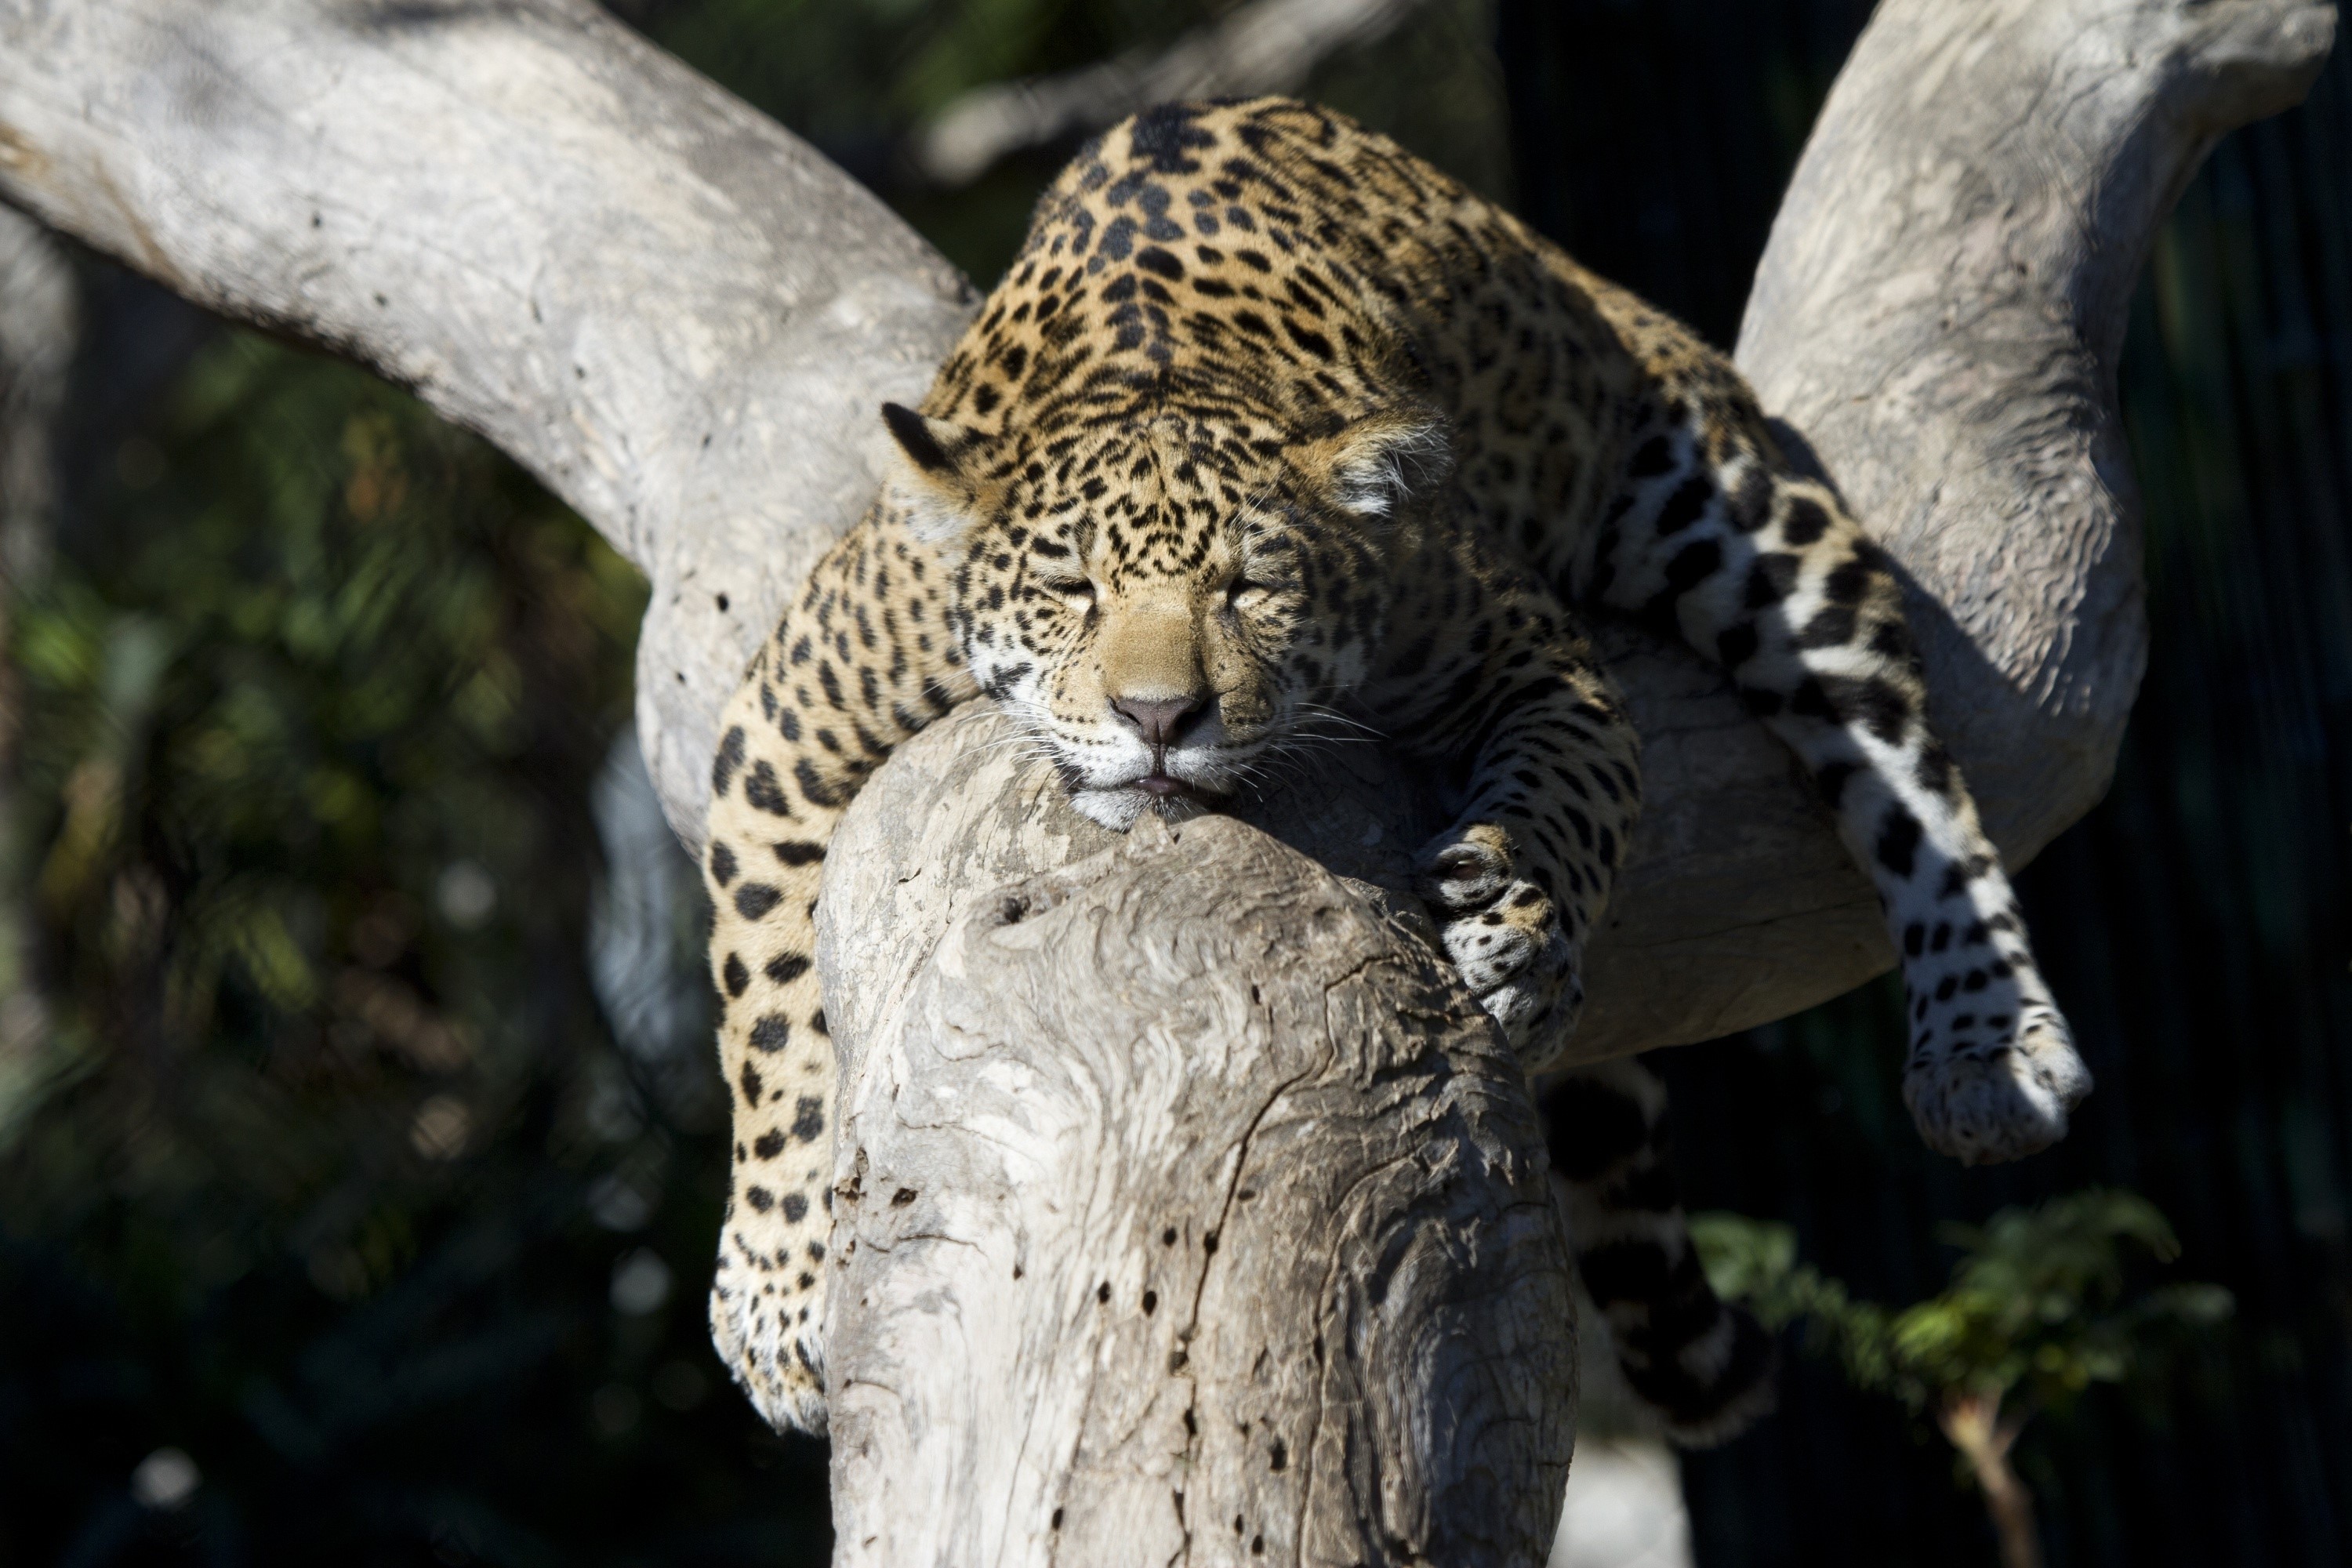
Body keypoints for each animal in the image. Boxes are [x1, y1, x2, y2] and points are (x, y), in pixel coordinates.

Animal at [699, 97, 2093, 1441]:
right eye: (1071, 590)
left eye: (1252, 588)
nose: (1160, 716)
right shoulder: (784, 726)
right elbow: (770, 1021)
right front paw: (779, 1296)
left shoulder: (1532, 650)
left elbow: (1579, 801)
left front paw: (1517, 935)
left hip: (1747, 515)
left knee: (1919, 790)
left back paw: (1988, 1044)